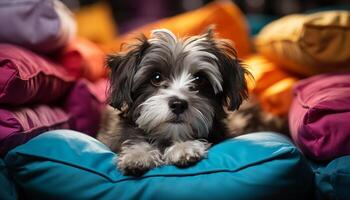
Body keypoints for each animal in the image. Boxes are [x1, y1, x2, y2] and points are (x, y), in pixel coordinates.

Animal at [97, 27, 286, 175]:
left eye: (199, 79)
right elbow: (134, 138)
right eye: (156, 78)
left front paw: (184, 148)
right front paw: (137, 155)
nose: (178, 104)